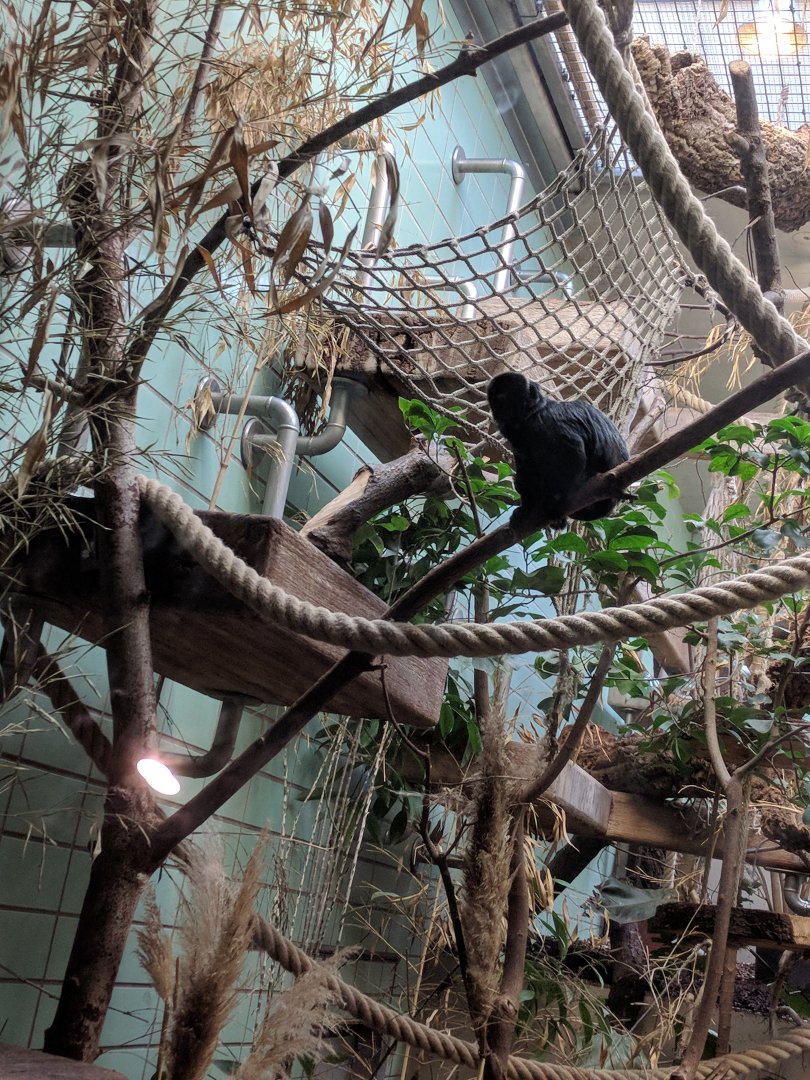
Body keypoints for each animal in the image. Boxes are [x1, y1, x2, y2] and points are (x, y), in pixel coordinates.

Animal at [487, 372, 629, 529]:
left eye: (503, 397)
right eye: (496, 399)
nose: (499, 407)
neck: (532, 414)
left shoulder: (547, 423)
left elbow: (572, 453)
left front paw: (554, 502)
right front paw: (526, 508)